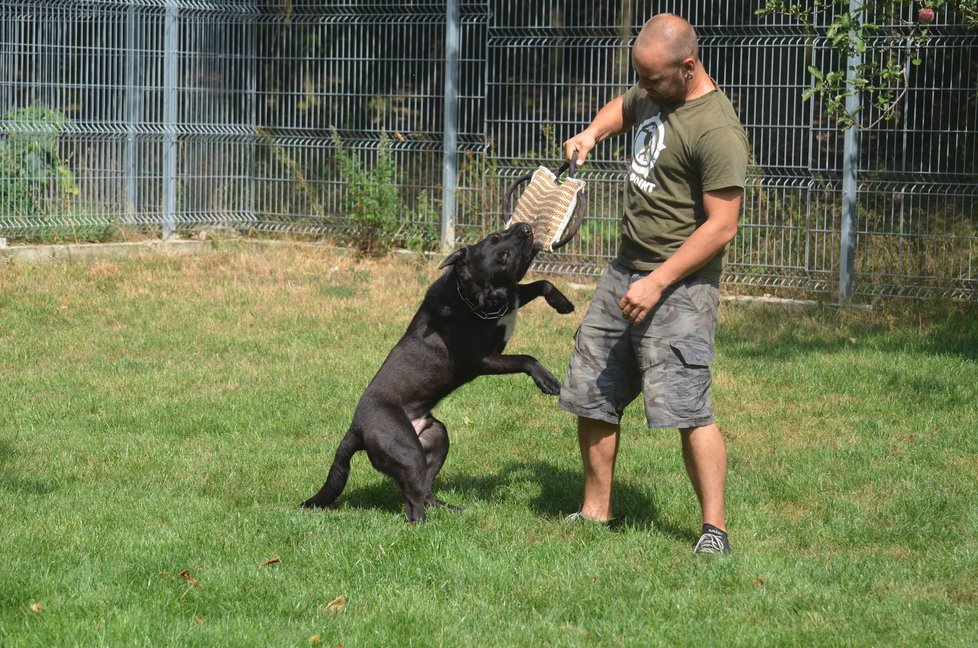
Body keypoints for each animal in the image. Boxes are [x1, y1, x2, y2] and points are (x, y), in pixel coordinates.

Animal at [300, 223, 572, 520]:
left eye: (497, 235)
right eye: (502, 254)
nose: (524, 227)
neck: (472, 297)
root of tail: (356, 429)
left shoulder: (511, 300)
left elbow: (541, 284)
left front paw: (564, 304)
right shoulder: (483, 361)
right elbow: (525, 358)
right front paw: (549, 381)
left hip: (436, 438)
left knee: (424, 489)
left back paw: (449, 509)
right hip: (406, 450)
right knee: (412, 502)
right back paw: (423, 523)